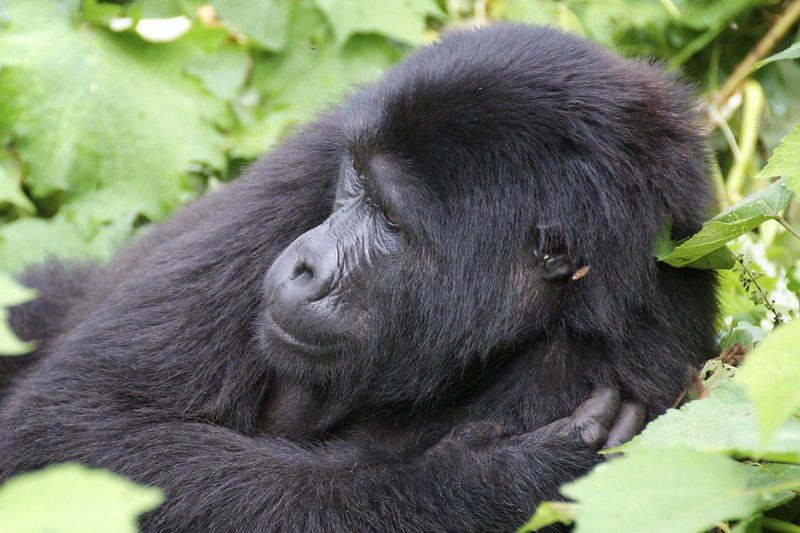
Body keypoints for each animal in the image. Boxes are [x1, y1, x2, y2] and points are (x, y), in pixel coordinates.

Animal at [0, 23, 712, 528]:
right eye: (355, 181)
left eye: (392, 220)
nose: (305, 263)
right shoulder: (316, 153)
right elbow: (82, 428)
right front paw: (489, 483)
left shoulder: (620, 350)